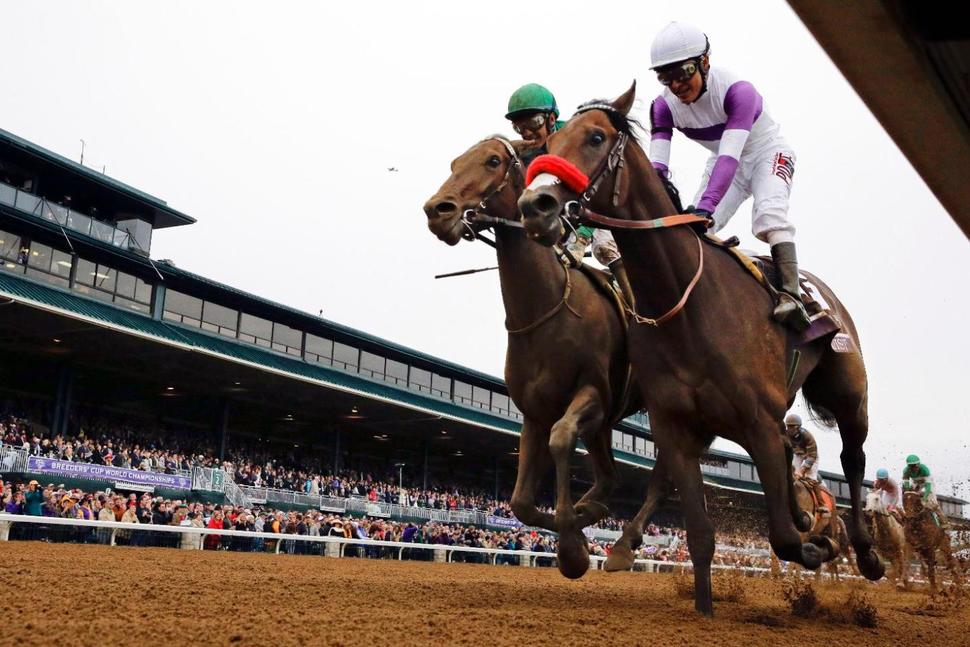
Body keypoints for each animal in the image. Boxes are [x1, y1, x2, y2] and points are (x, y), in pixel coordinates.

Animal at [422, 135, 636, 576]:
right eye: (454, 163)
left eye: (492, 161)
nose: (438, 210)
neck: (547, 307)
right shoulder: (534, 412)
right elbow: (520, 502)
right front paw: (579, 530)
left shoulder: (592, 394)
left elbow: (562, 438)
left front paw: (572, 549)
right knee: (609, 476)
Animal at [520, 83, 884, 616]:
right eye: (547, 142)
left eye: (594, 137)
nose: (535, 204)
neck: (683, 301)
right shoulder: (676, 424)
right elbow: (699, 532)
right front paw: (705, 606)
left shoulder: (756, 421)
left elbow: (782, 538)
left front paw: (818, 544)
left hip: (849, 395)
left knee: (854, 462)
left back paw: (865, 551)